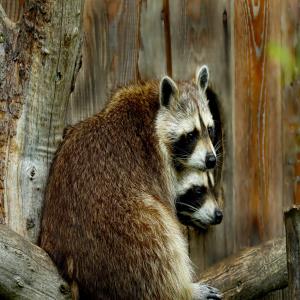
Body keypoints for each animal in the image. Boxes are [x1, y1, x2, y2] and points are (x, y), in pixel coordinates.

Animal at [39, 66, 221, 300]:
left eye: (210, 129)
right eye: (191, 135)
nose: (211, 160)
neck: (151, 110)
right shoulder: (157, 164)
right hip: (123, 232)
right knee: (158, 239)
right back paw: (182, 291)